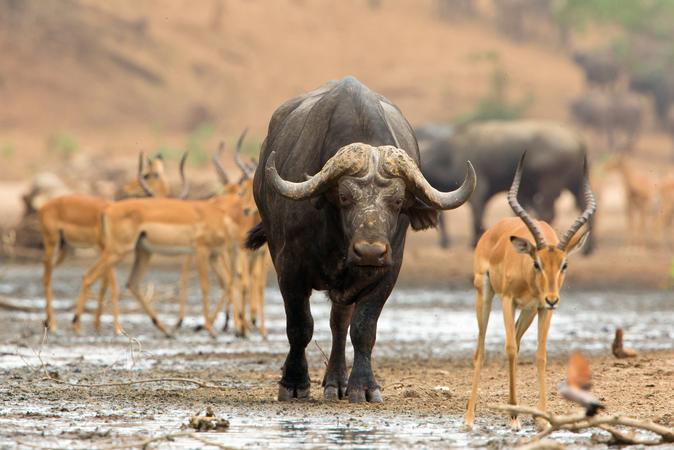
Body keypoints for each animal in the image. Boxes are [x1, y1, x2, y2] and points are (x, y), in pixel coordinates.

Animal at [246, 77, 475, 403]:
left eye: (397, 201)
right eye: (344, 196)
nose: (369, 252)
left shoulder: (388, 271)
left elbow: (363, 328)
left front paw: (364, 386)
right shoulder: (288, 268)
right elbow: (300, 327)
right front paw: (294, 383)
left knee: (339, 322)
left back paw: (336, 381)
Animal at [420, 120, 593, 253]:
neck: (449, 155)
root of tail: (577, 138)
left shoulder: (478, 190)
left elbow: (477, 216)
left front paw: (474, 242)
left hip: (550, 184)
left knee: (548, 212)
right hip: (576, 183)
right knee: (584, 207)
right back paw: (588, 249)